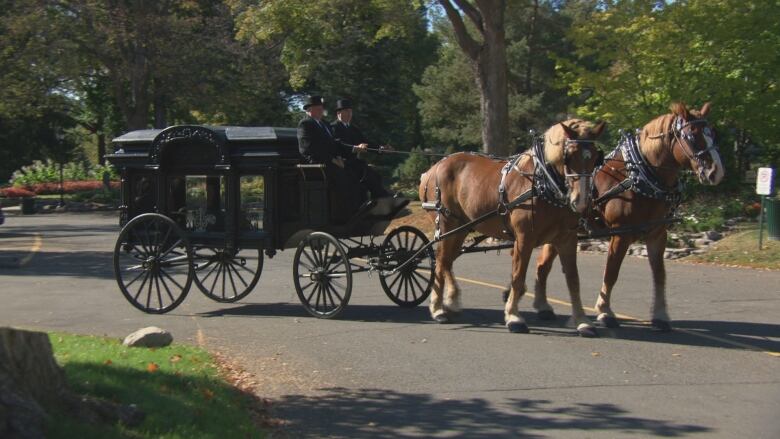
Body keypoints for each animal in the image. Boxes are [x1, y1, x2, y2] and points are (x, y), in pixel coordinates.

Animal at [420, 120, 608, 336]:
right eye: (568, 156)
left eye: (595, 158)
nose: (581, 200)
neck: (543, 182)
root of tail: (433, 169)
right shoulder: (524, 238)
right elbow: (518, 276)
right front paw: (513, 317)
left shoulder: (567, 238)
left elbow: (573, 280)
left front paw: (582, 321)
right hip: (446, 225)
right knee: (441, 262)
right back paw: (437, 309)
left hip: (461, 229)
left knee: (447, 262)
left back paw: (450, 301)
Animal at [536, 102, 724, 330]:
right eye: (691, 135)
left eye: (712, 133)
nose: (716, 171)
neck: (639, 176)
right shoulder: (621, 234)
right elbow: (612, 272)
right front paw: (605, 311)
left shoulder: (657, 233)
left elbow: (659, 274)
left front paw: (660, 316)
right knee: (542, 264)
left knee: (542, 264)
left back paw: (542, 306)